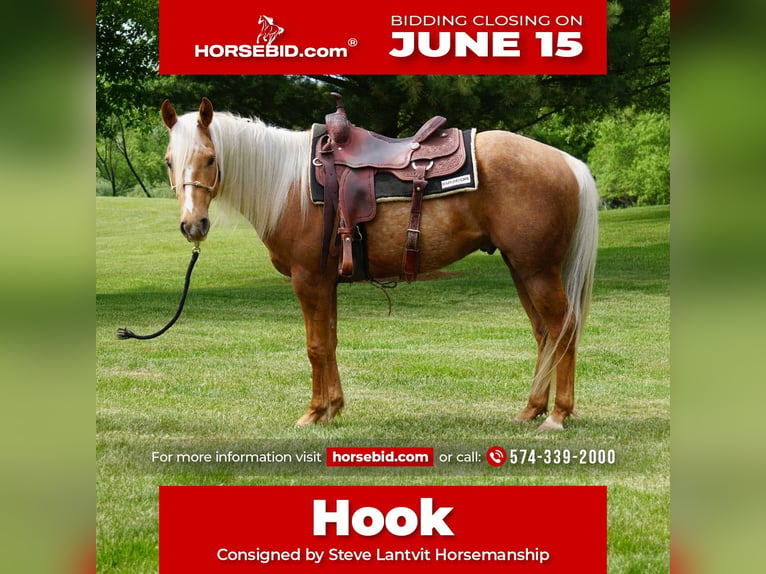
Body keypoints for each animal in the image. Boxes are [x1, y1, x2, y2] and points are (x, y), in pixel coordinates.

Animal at [159, 97, 598, 431]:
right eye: (168, 161)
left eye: (210, 159)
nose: (192, 225)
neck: (289, 185)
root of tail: (567, 162)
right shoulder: (326, 282)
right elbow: (330, 342)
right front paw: (334, 408)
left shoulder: (308, 280)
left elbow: (315, 347)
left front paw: (313, 413)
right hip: (521, 267)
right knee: (545, 334)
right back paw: (531, 409)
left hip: (538, 269)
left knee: (565, 328)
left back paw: (557, 416)